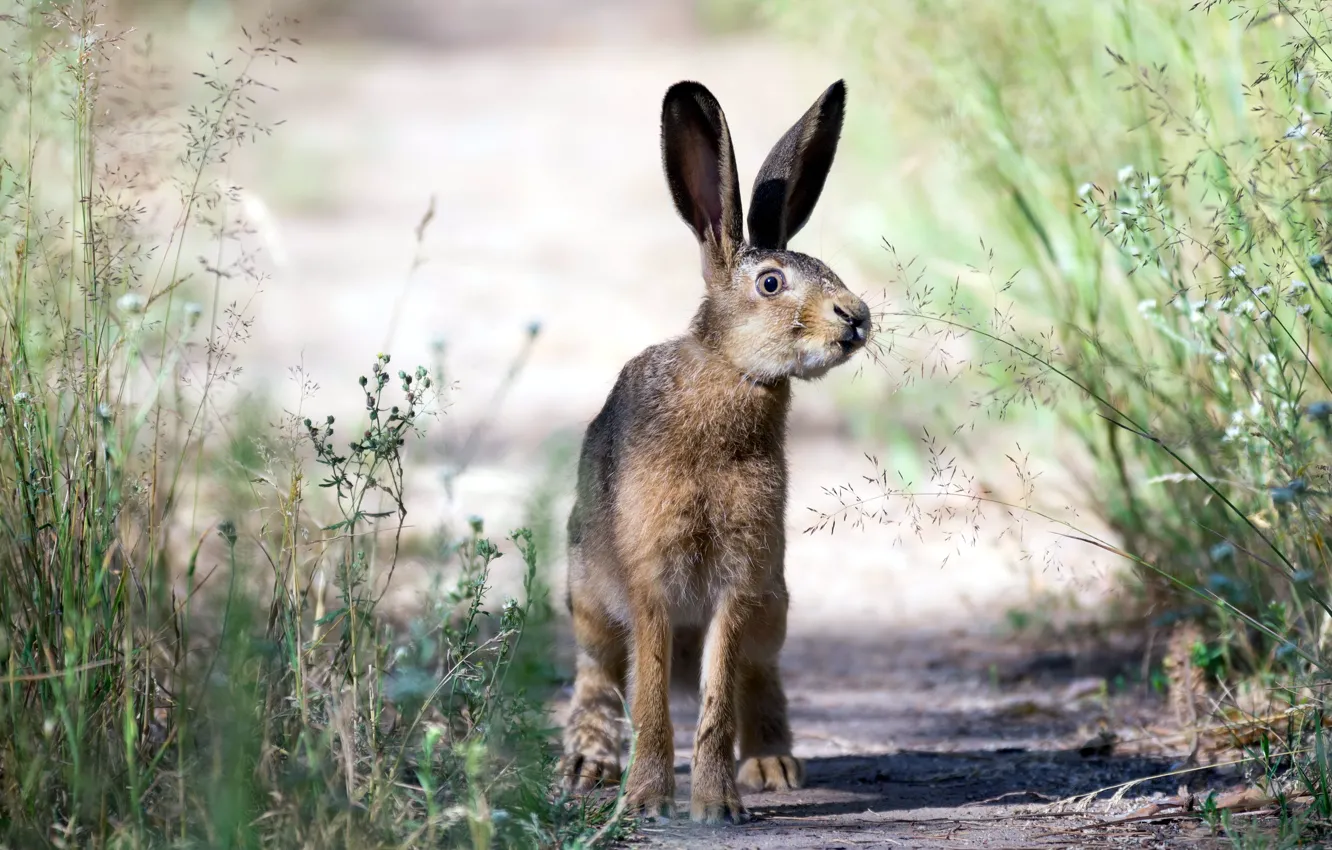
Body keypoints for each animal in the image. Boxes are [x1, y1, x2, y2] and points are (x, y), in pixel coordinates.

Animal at [560, 78, 870, 825]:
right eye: (771, 283)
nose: (857, 318)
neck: (731, 373)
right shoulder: (648, 579)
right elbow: (649, 698)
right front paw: (647, 800)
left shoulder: (739, 581)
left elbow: (716, 698)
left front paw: (718, 806)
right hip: (588, 597)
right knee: (598, 675)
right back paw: (588, 762)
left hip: (773, 604)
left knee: (759, 676)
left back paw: (773, 766)